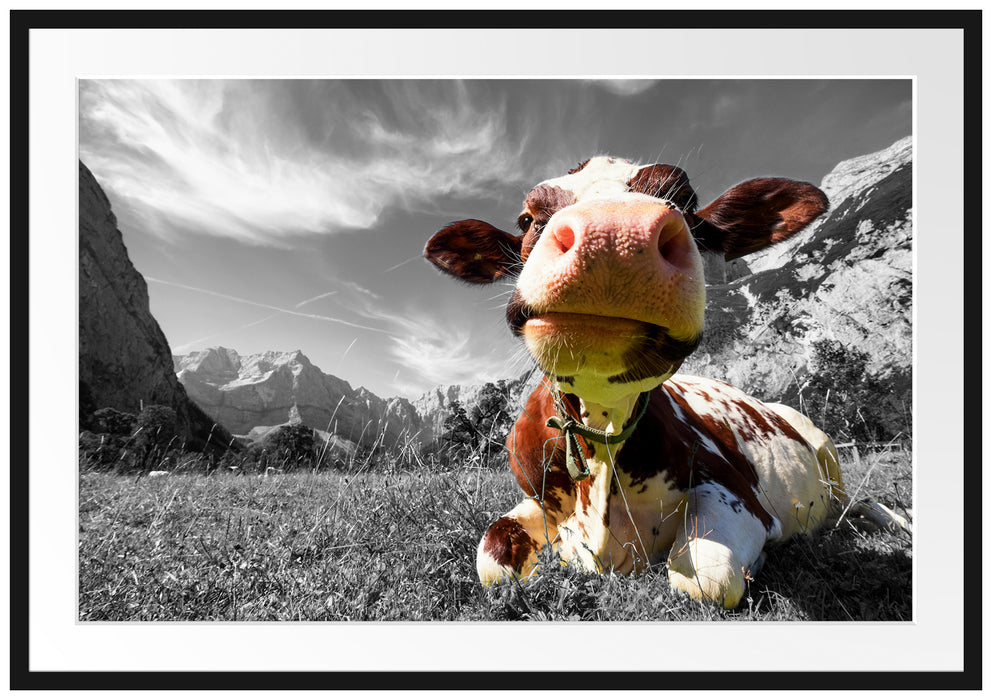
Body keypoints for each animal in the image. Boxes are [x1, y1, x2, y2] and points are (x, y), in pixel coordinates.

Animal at [425, 156, 904, 608]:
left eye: (687, 200)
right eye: (527, 219)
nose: (614, 234)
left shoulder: (735, 492)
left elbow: (706, 578)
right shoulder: (535, 499)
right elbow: (492, 559)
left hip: (827, 452)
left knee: (857, 502)